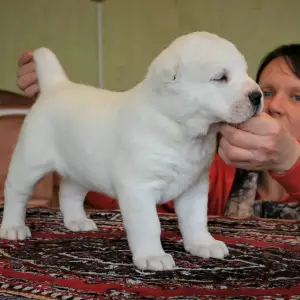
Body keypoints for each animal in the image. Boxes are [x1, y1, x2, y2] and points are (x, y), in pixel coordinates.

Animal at [0, 31, 262, 270]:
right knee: (17, 193)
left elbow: (196, 219)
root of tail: (56, 86)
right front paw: (153, 257)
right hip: (30, 160)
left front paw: (203, 244)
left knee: (70, 192)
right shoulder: (139, 188)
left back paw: (77, 221)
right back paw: (13, 227)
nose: (258, 96)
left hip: (80, 166)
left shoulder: (194, 187)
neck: (179, 129)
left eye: (245, 71)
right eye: (221, 77)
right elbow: (149, 224)